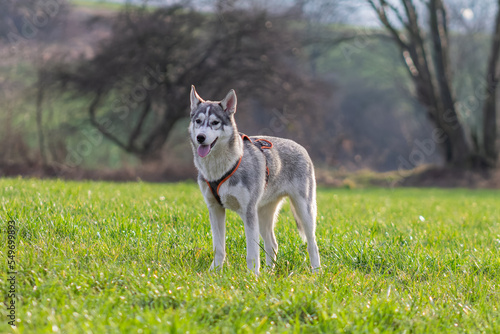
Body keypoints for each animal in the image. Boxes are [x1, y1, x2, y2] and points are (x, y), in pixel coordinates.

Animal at [188, 85, 320, 274]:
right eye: (198, 121)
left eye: (215, 123)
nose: (200, 137)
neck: (221, 167)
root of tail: (301, 147)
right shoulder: (215, 209)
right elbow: (219, 248)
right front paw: (214, 272)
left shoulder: (248, 212)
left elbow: (252, 253)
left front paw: (252, 276)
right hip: (263, 214)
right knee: (272, 244)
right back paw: (269, 272)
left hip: (304, 210)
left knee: (312, 244)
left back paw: (316, 272)